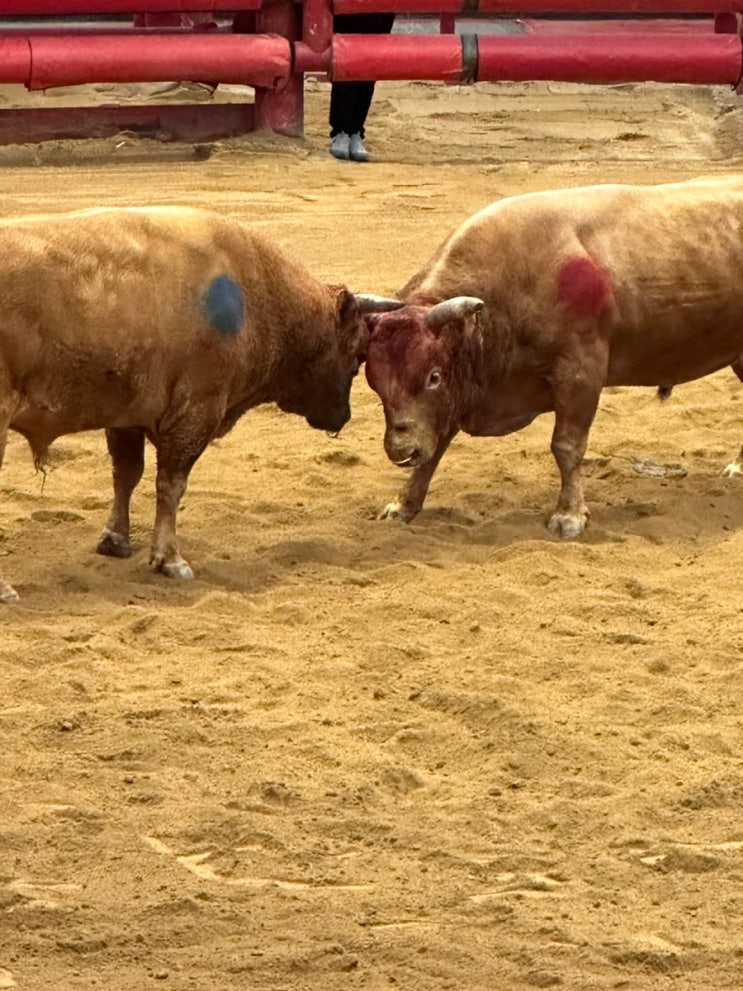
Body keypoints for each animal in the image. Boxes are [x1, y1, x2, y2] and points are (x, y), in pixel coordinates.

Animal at [0, 205, 402, 600]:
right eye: (358, 354)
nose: (343, 417)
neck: (255, 294)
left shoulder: (127, 415)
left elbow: (126, 475)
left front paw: (115, 540)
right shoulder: (196, 414)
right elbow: (171, 485)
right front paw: (169, 559)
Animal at [366, 174, 743, 540]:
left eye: (433, 376)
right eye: (375, 384)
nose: (401, 450)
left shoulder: (580, 375)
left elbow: (566, 447)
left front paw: (569, 515)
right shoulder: (458, 394)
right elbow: (436, 448)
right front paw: (403, 506)